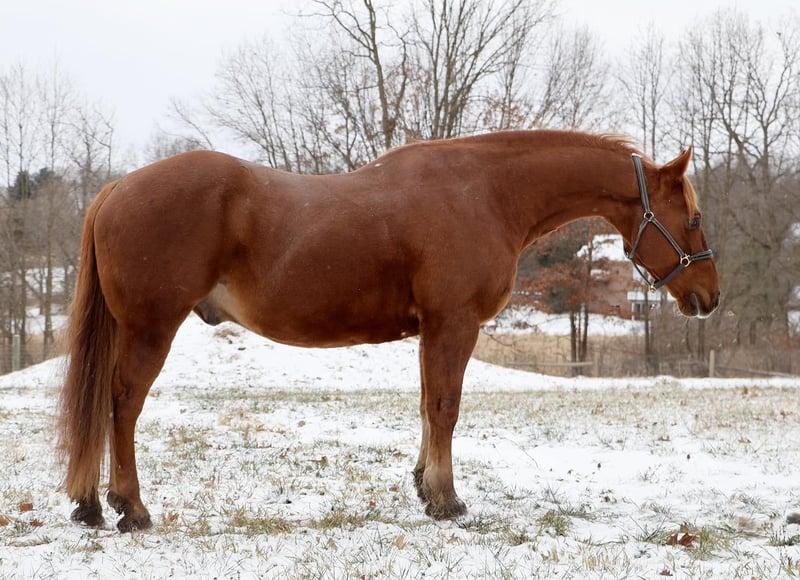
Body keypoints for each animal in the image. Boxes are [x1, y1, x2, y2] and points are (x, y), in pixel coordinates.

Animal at [58, 130, 720, 532]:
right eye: (691, 217)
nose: (709, 298)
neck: (486, 193)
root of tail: (119, 187)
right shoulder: (454, 324)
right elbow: (446, 407)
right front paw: (448, 500)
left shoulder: (431, 330)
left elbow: (427, 406)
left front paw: (427, 491)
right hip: (150, 329)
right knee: (122, 404)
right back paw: (131, 507)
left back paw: (89, 503)